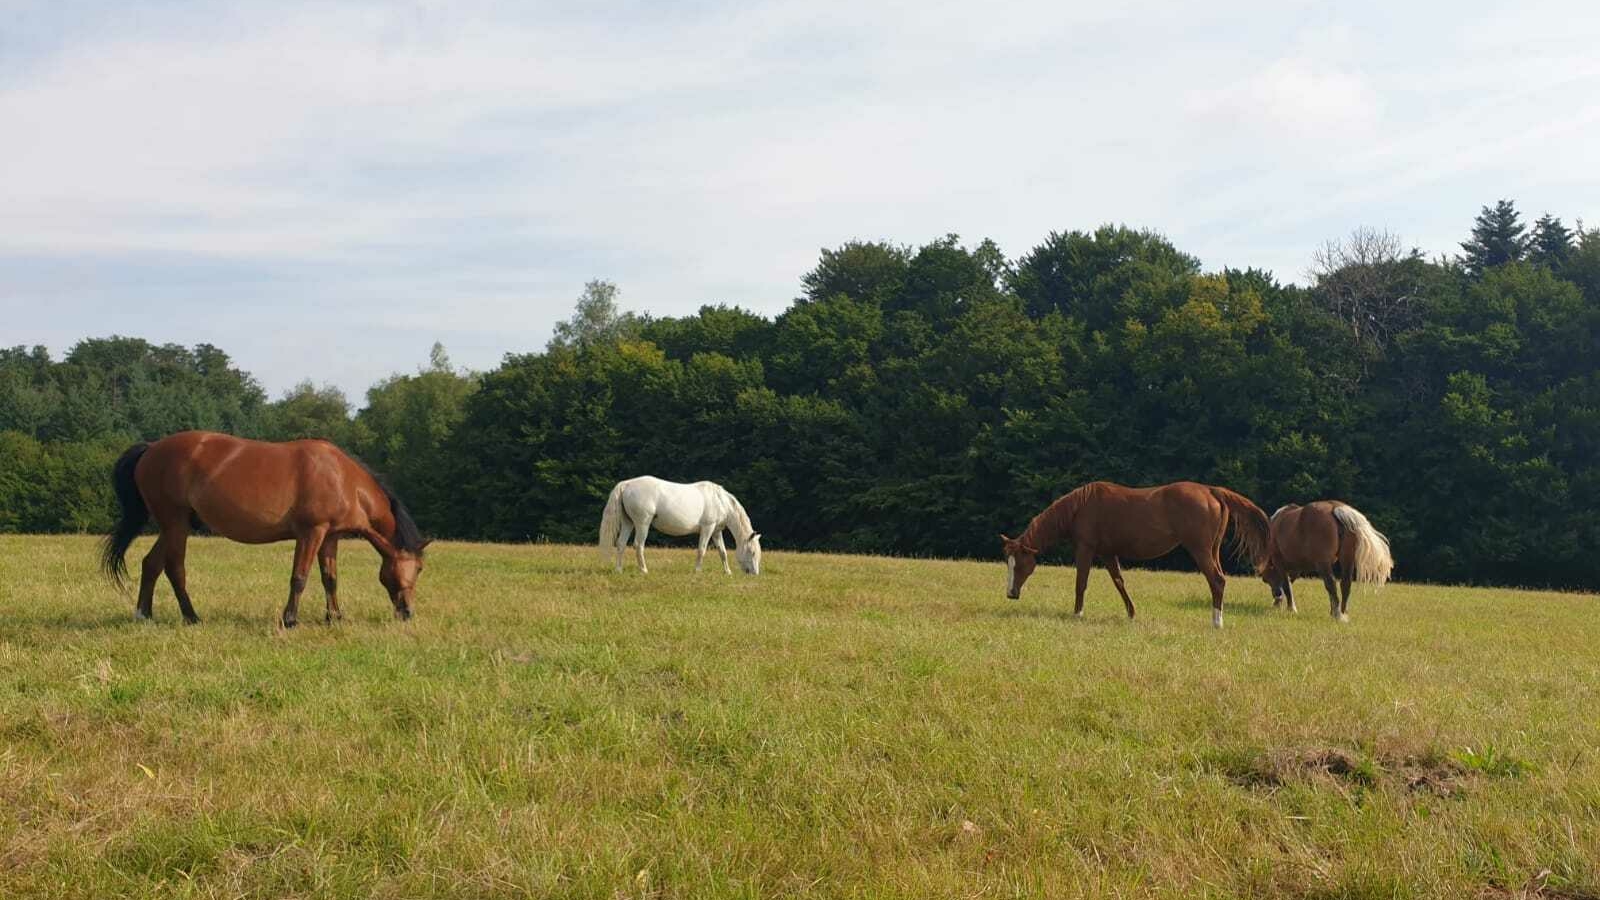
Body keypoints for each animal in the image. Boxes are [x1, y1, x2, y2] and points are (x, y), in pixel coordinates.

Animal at [100, 432, 432, 627]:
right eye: (417, 569)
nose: (408, 613)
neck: (342, 478)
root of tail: (152, 448)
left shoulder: (330, 538)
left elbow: (330, 579)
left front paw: (334, 617)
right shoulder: (311, 533)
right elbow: (299, 578)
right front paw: (290, 619)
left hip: (173, 526)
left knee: (152, 564)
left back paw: (144, 614)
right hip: (175, 523)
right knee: (174, 567)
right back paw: (191, 616)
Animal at [598, 477, 764, 573]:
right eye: (752, 552)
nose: (754, 573)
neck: (720, 500)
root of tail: (627, 484)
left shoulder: (716, 531)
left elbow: (722, 552)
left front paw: (727, 572)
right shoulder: (708, 528)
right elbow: (702, 550)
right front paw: (697, 571)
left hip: (628, 523)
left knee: (621, 544)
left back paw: (618, 570)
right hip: (642, 524)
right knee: (638, 545)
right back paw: (644, 570)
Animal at [998, 480, 1273, 627]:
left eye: (1019, 564)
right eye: (1007, 563)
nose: (1010, 594)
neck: (1080, 507)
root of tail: (1210, 490)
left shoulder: (1085, 549)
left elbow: (1081, 583)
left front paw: (1077, 613)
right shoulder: (1108, 554)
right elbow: (1119, 582)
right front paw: (1131, 613)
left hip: (1200, 549)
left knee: (1216, 581)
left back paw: (1216, 622)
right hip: (1212, 550)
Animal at [1260, 499, 1388, 621]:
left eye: (1266, 579)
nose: (1276, 596)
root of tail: (1335, 508)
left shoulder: (1279, 563)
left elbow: (1287, 586)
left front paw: (1291, 609)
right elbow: (1289, 584)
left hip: (1323, 563)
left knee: (1331, 583)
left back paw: (1337, 614)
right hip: (1347, 559)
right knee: (1345, 584)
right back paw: (1342, 612)